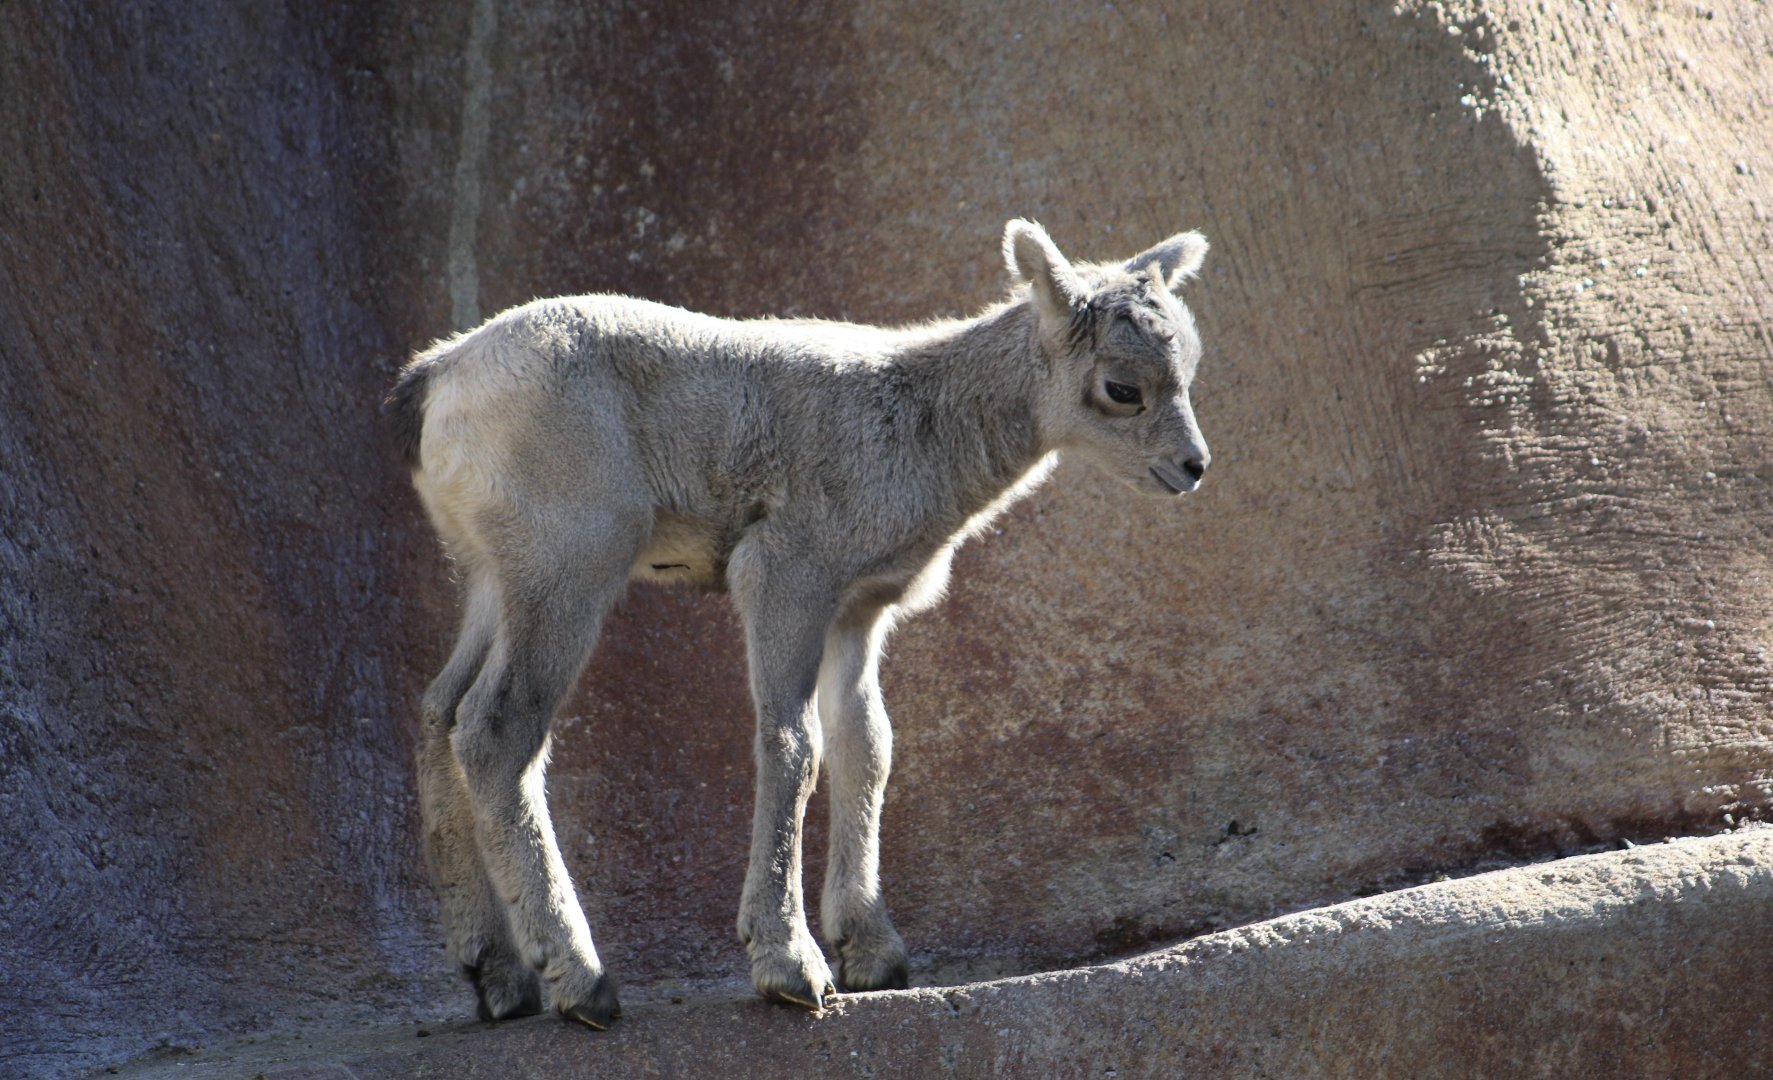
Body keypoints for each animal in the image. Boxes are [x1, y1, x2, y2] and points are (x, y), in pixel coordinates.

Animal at [388, 219, 1211, 1028]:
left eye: (1189, 369)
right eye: (1122, 388)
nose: (1193, 466)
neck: (920, 428)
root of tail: (437, 381)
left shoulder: (857, 612)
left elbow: (866, 746)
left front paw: (873, 954)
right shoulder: (785, 576)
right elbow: (793, 746)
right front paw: (793, 966)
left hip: (495, 579)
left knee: (439, 711)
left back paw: (496, 977)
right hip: (568, 565)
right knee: (497, 730)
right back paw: (580, 981)